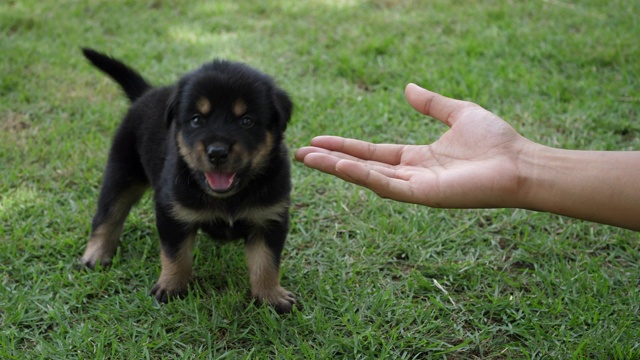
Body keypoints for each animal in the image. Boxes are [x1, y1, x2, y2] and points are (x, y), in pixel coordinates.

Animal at [80, 47, 298, 312]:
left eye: (246, 120)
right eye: (196, 119)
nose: (217, 152)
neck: (228, 197)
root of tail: (147, 93)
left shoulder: (270, 218)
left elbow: (266, 263)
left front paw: (271, 296)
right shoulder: (173, 213)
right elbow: (176, 255)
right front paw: (171, 286)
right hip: (121, 172)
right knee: (108, 214)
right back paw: (96, 254)